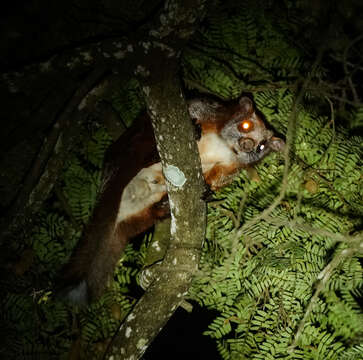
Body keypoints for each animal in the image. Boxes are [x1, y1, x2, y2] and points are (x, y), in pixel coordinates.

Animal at [57, 95, 286, 304]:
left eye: (262, 146)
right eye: (246, 125)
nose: (248, 145)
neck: (224, 146)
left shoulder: (231, 166)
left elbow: (219, 179)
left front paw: (207, 190)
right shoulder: (212, 111)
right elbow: (190, 108)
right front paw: (194, 127)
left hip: (143, 212)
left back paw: (164, 205)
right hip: (126, 151)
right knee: (142, 139)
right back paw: (153, 155)